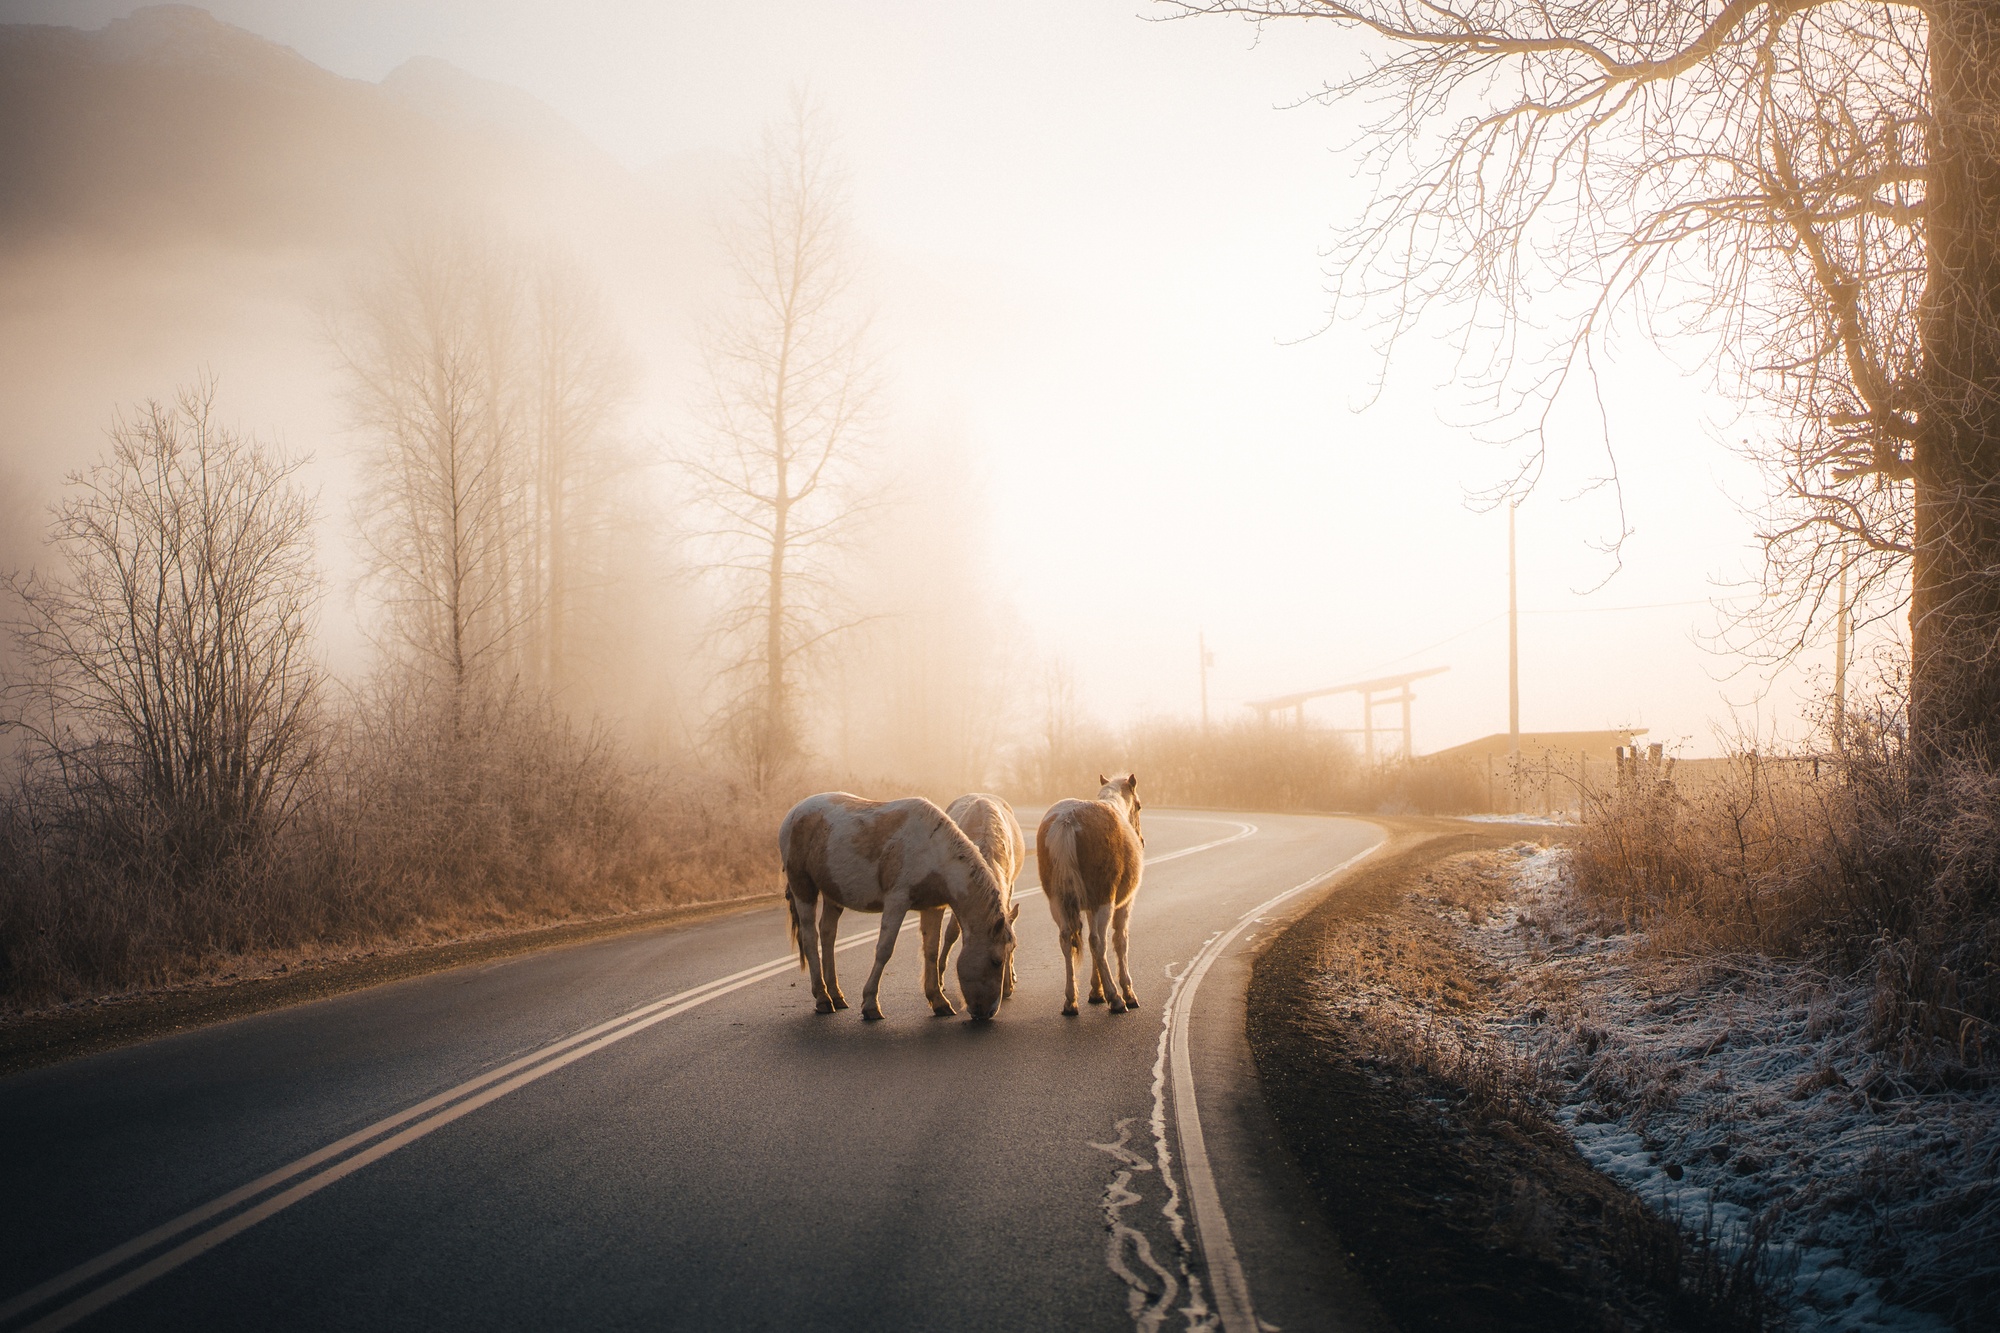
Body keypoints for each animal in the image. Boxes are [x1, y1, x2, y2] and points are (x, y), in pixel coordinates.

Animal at [1037, 773, 1145, 1016]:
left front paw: (1096, 991)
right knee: (1098, 941)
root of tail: (1067, 820)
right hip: (1105, 900)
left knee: (1067, 939)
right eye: (1139, 806)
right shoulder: (1123, 904)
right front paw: (1127, 992)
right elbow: (1119, 941)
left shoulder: (1088, 906)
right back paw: (1116, 999)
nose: (1142, 841)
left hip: (1058, 902)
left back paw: (1070, 1001)